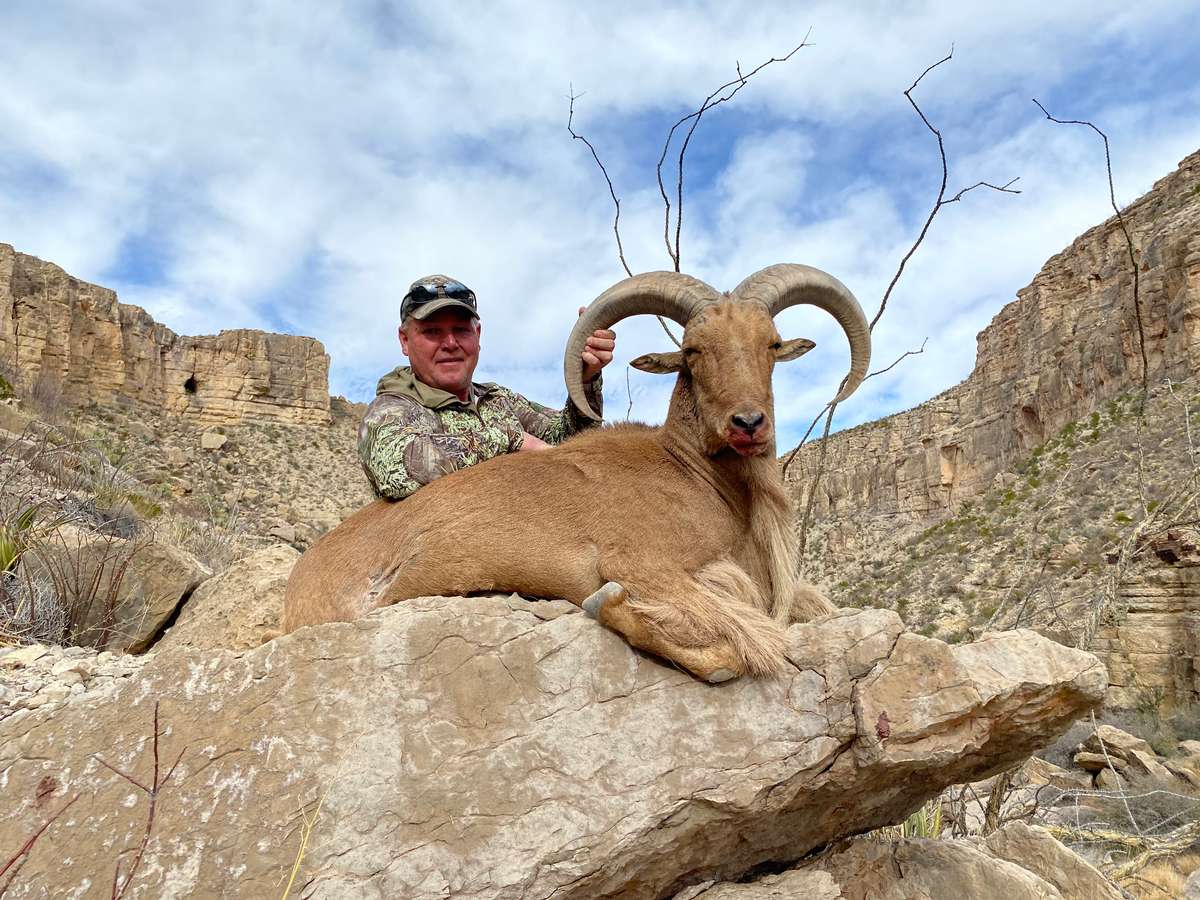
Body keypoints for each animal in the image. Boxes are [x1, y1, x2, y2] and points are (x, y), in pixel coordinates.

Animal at [281, 264, 870, 682]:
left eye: (770, 344)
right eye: (692, 350)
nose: (748, 424)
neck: (693, 474)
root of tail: (297, 588)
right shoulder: (644, 564)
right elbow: (741, 643)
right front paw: (611, 608)